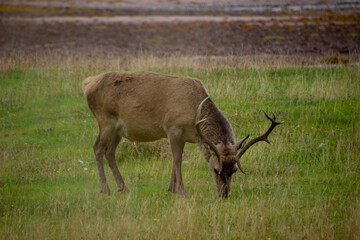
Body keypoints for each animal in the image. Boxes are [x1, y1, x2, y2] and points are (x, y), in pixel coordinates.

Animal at [83, 71, 282, 197]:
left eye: (234, 170)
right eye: (215, 169)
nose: (225, 194)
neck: (195, 111)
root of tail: (87, 83)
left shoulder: (185, 135)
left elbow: (174, 159)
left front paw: (171, 189)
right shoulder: (173, 127)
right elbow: (177, 159)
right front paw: (181, 191)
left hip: (118, 129)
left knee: (110, 152)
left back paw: (123, 188)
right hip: (105, 120)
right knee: (97, 148)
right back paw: (105, 189)